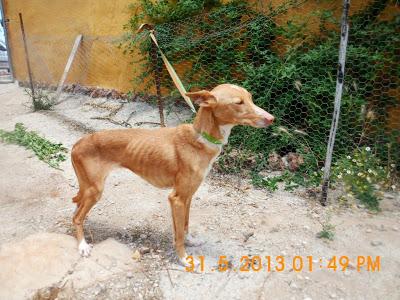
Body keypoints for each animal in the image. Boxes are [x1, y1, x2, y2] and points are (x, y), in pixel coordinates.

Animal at [70, 84, 274, 264]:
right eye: (238, 102)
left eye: (250, 97)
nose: (272, 118)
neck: (200, 139)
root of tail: (78, 143)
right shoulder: (177, 198)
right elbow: (179, 235)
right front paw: (184, 259)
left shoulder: (188, 196)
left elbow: (184, 225)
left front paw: (191, 241)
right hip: (95, 190)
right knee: (76, 217)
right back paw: (82, 246)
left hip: (88, 188)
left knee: (76, 210)